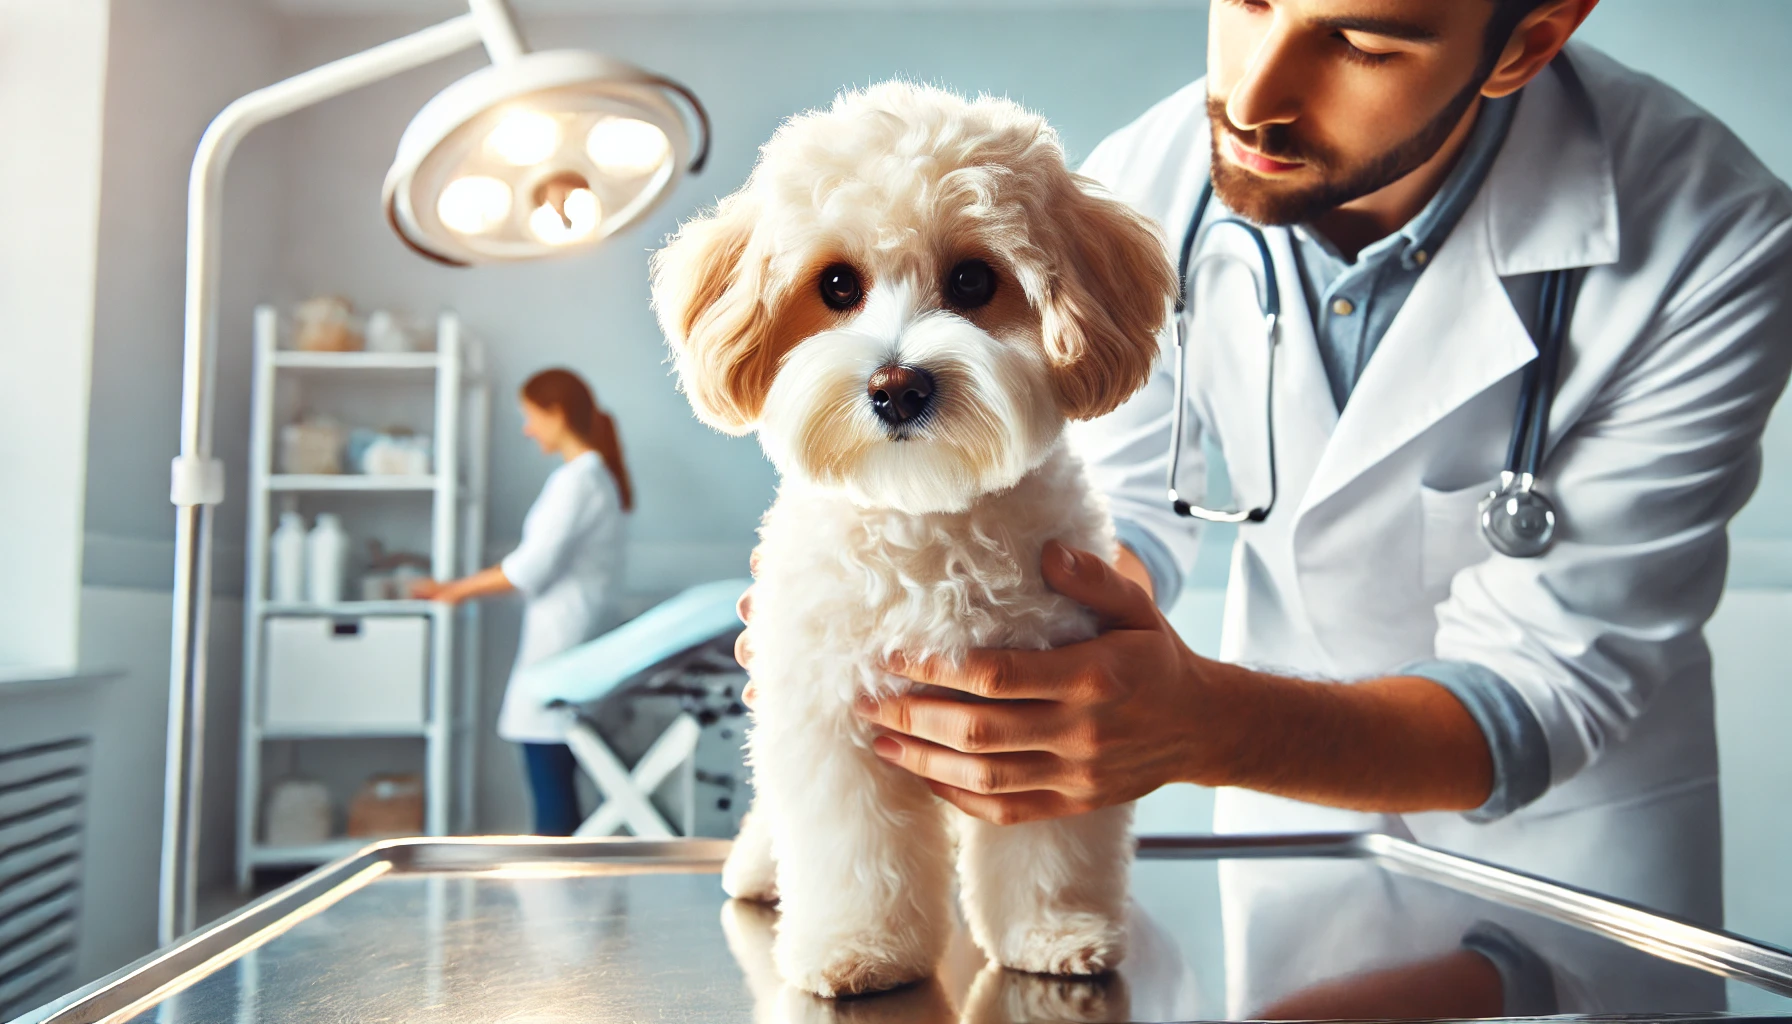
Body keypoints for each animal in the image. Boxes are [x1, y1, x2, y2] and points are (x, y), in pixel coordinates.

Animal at [652, 82, 1182, 1004]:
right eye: (836, 284)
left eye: (973, 279)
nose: (897, 386)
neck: (926, 511)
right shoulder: (830, 717)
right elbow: (852, 849)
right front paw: (858, 948)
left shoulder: (1052, 726)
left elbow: (1050, 848)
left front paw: (1053, 932)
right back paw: (757, 872)